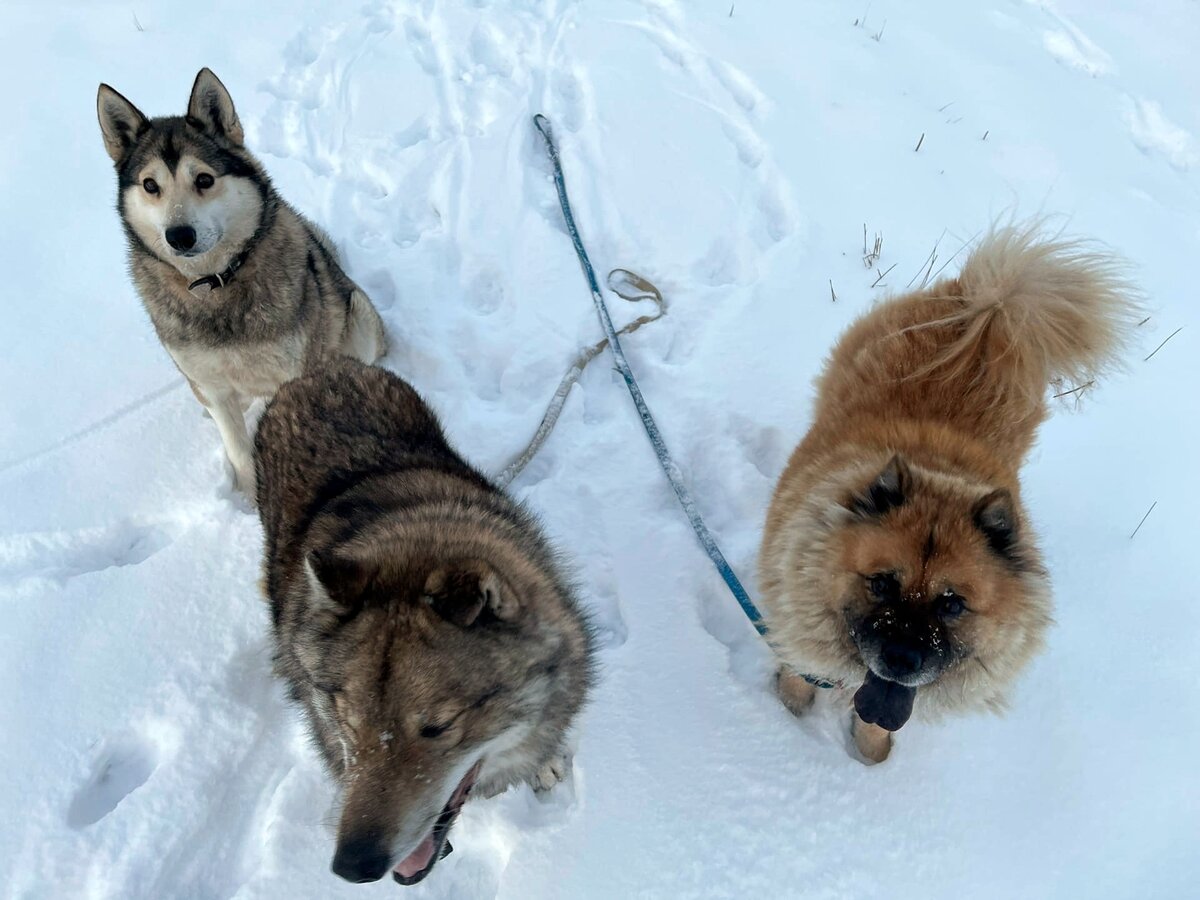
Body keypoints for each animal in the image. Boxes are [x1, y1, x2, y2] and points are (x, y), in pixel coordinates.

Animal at [100, 68, 388, 501]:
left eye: (204, 179)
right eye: (151, 186)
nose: (179, 235)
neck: (215, 285)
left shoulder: (295, 372)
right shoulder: (213, 386)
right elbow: (237, 447)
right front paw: (249, 497)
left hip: (360, 316)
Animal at [255, 360, 592, 888]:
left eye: (439, 727)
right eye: (350, 725)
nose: (352, 866)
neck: (417, 546)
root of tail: (323, 370)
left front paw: (544, 763)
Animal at [763, 224, 1137, 763]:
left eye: (953, 604)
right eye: (881, 584)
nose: (901, 659)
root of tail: (985, 306)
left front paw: (871, 756)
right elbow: (800, 670)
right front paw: (786, 713)